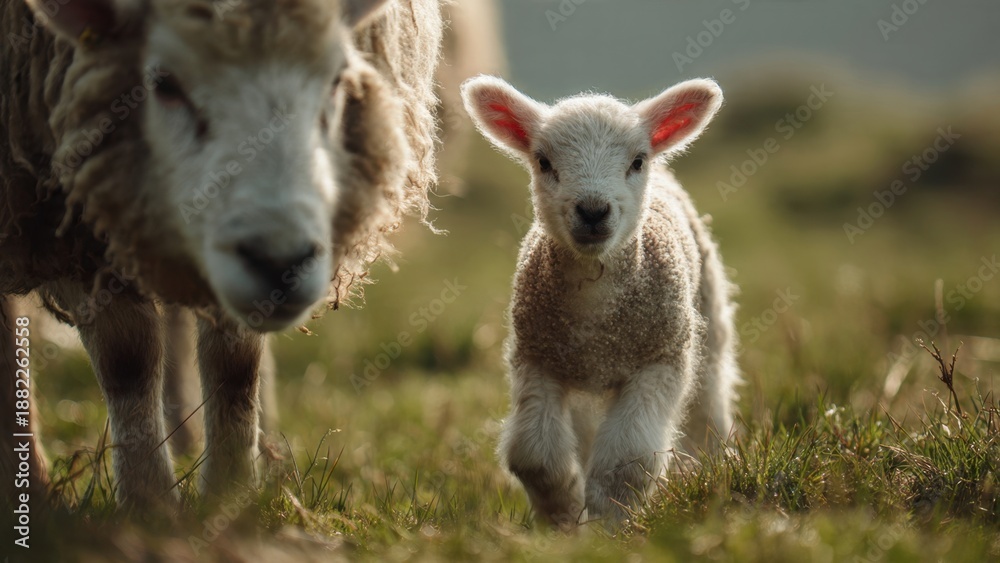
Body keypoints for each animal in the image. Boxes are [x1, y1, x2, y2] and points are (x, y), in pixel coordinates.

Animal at [0, 0, 442, 510]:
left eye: (337, 80)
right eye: (163, 83)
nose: (281, 261)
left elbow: (235, 364)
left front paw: (228, 496)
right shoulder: (69, 222)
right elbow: (127, 357)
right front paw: (149, 502)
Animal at [461, 76, 740, 528]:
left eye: (637, 161)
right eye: (543, 161)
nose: (593, 211)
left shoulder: (659, 359)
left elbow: (627, 463)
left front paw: (610, 525)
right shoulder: (537, 359)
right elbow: (534, 455)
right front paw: (563, 520)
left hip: (707, 329)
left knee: (708, 407)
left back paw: (712, 468)